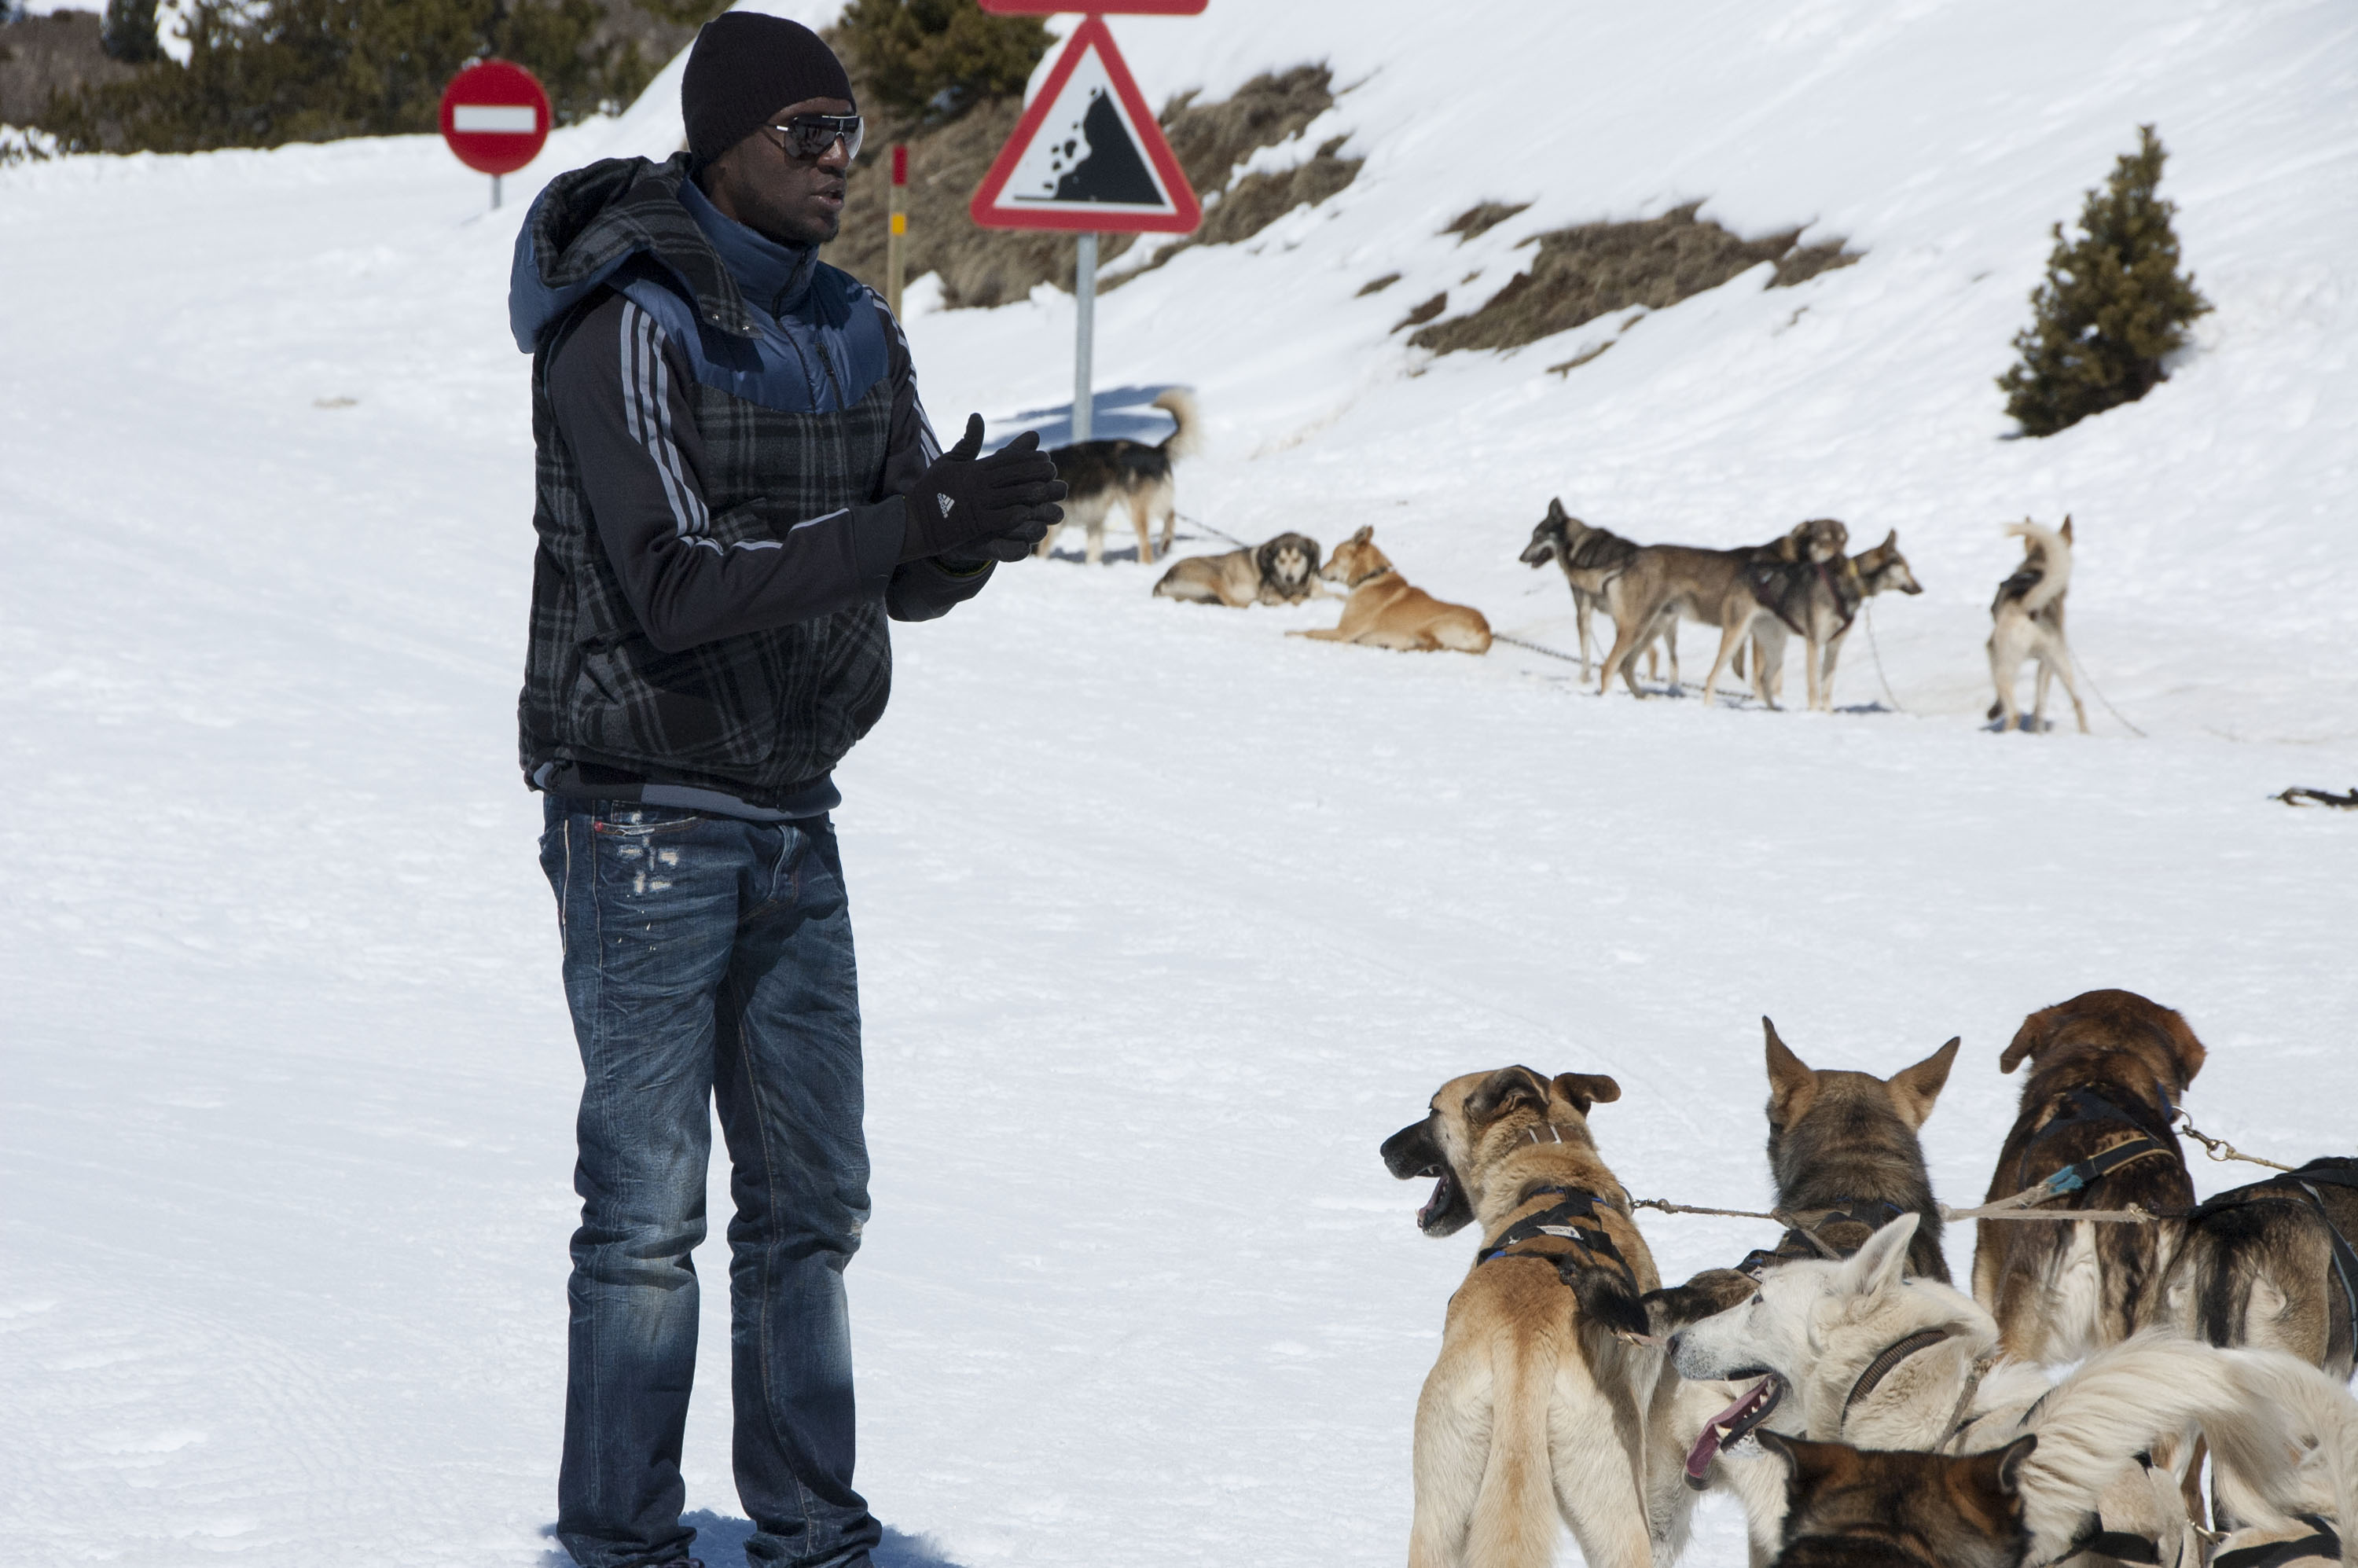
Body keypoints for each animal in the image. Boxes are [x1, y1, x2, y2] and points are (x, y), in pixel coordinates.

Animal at [1292, 523, 1490, 651]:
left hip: (1426, 627)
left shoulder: (1343, 632)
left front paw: (1290, 633)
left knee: (1435, 646)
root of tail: (1485, 630)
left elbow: (1310, 632)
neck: (1371, 577)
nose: (1317, 571)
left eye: (1334, 557)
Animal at [1377, 1066, 1660, 1566]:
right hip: (1614, 1509)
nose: (1384, 1149)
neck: (1555, 1173)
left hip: (1437, 1512)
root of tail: (1525, 1344)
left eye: (1432, 1110)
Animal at [1981, 516, 2094, 731]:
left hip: (2006, 664)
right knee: (2076, 702)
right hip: (2059, 661)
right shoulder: (2045, 664)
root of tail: (2030, 610)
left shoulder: (1992, 650)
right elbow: (2039, 705)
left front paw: (1994, 710)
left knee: (2014, 713)